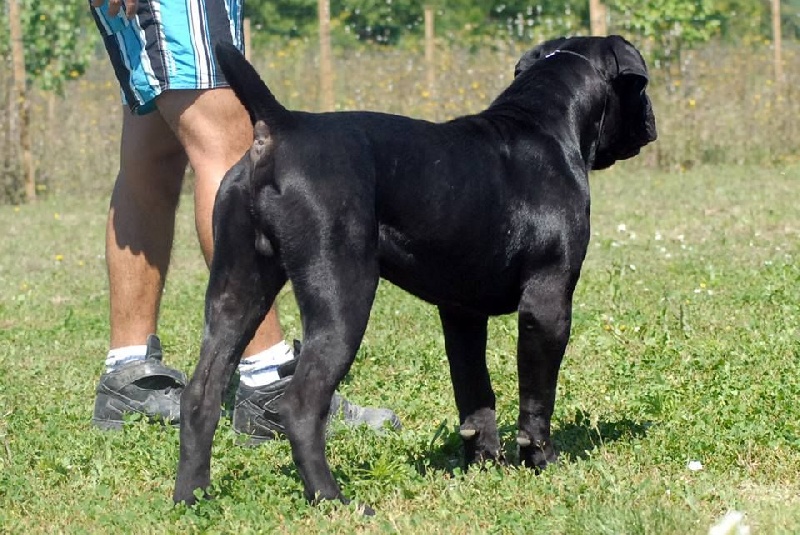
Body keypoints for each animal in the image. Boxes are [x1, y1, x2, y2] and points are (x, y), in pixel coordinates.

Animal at [174, 35, 657, 510]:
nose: (652, 122)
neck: (544, 127)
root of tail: (280, 125)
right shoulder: (548, 302)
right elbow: (537, 396)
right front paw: (541, 459)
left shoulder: (461, 313)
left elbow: (475, 393)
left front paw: (484, 461)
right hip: (342, 294)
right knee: (301, 404)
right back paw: (332, 499)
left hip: (238, 290)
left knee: (202, 394)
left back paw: (191, 497)